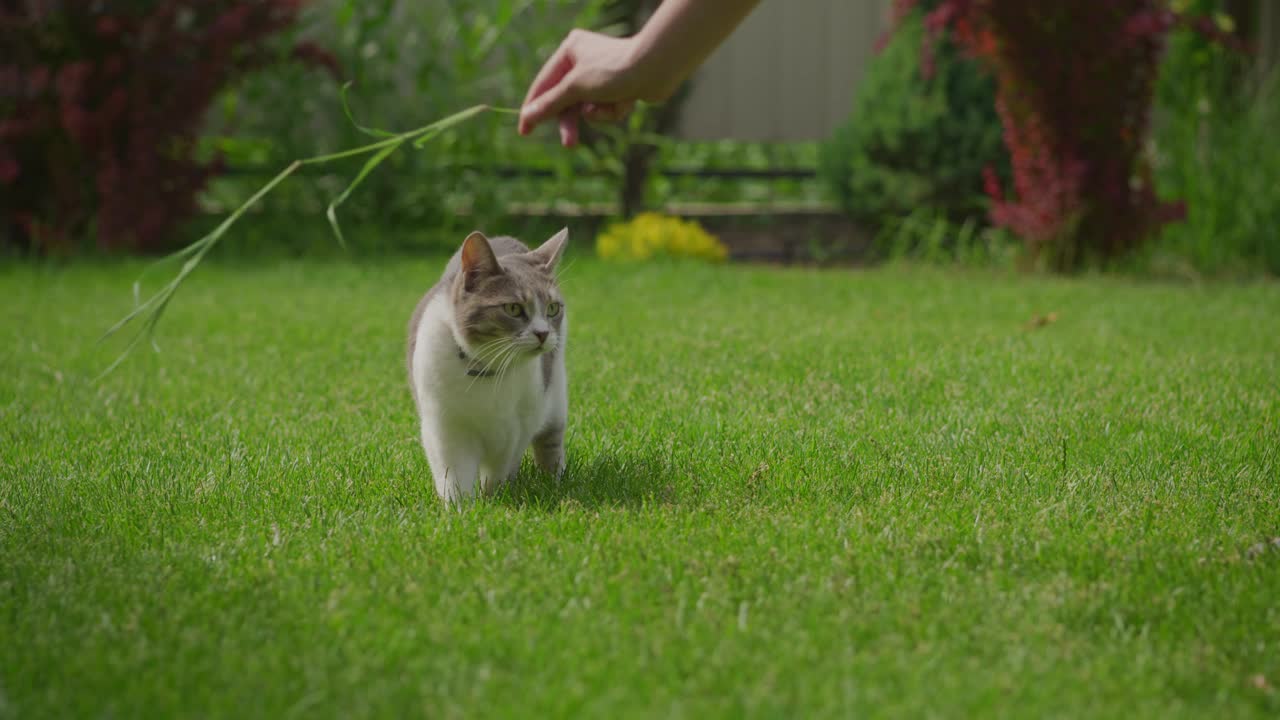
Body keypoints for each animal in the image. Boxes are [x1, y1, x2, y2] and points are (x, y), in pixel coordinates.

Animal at [409, 226, 570, 502]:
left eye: (552, 308)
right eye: (513, 308)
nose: (543, 333)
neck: (487, 369)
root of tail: (503, 238)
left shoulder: (515, 430)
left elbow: (499, 470)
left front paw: (493, 497)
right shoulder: (445, 429)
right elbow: (454, 476)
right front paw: (461, 507)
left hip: (555, 395)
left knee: (550, 440)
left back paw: (553, 479)